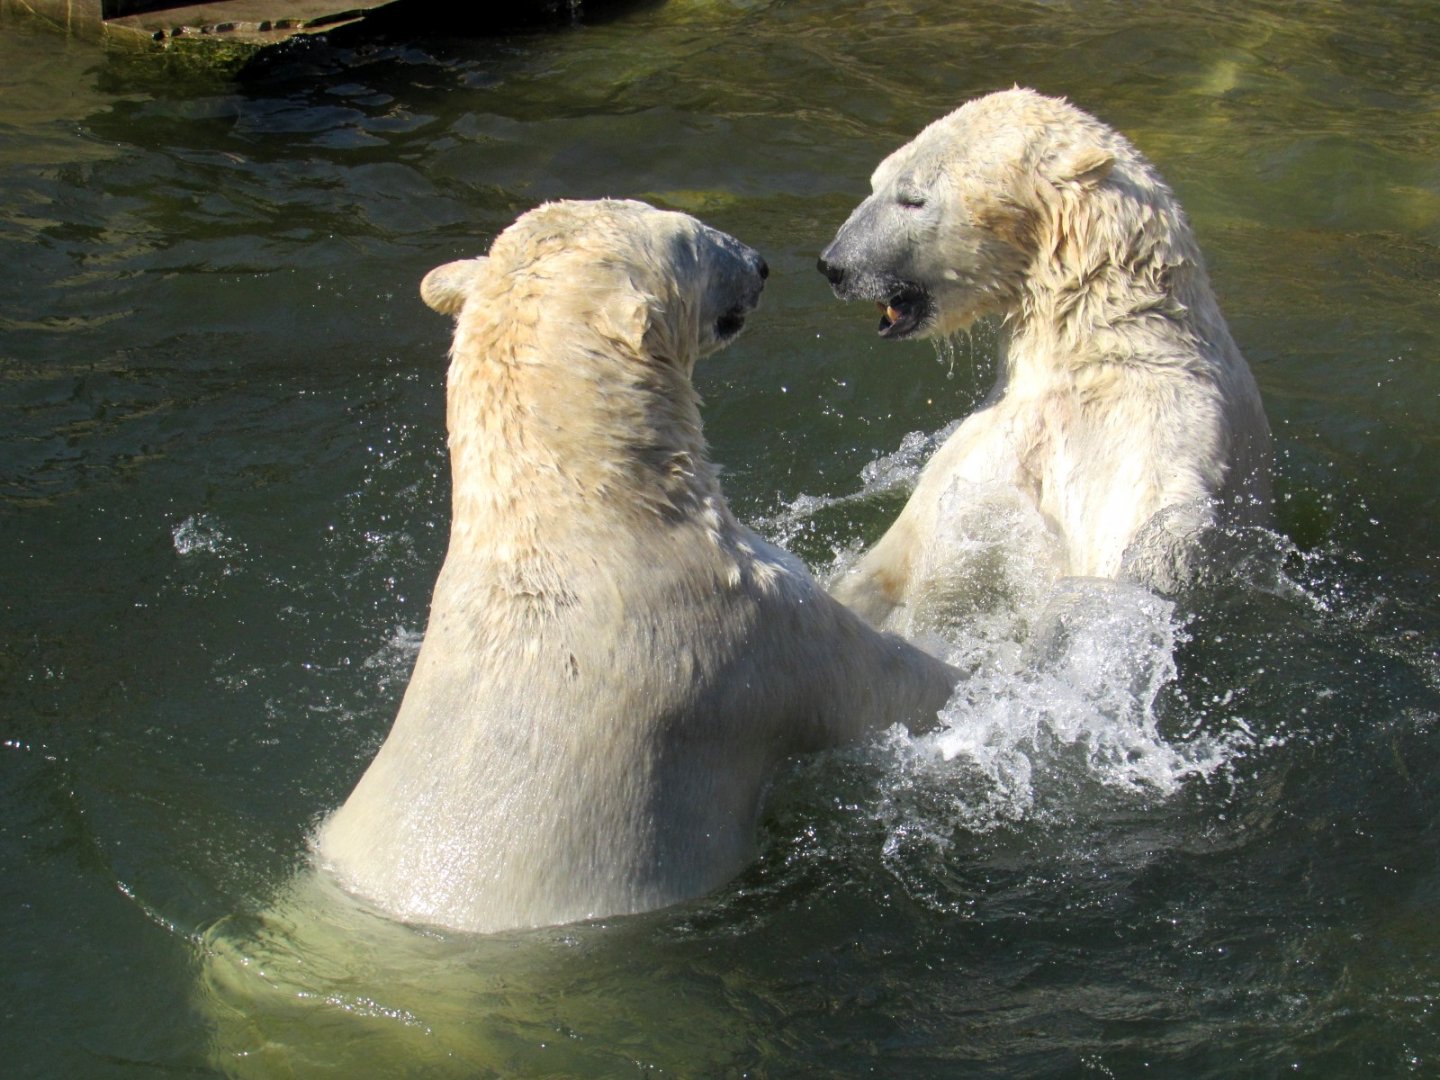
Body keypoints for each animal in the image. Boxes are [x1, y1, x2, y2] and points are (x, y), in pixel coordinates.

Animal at [816, 88, 1272, 633]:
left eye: (912, 197)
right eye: (876, 181)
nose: (833, 266)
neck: (1094, 342)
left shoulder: (1154, 432)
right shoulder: (989, 445)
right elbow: (904, 556)